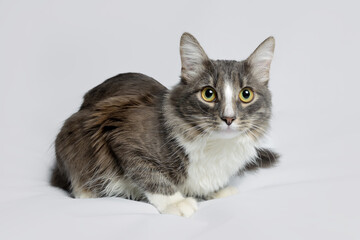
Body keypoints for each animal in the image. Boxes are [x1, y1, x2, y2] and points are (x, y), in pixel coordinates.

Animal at [50, 32, 278, 218]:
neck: (217, 146)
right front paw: (175, 202)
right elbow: (150, 175)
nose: (229, 118)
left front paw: (216, 190)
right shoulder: (119, 131)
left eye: (246, 94)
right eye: (208, 94)